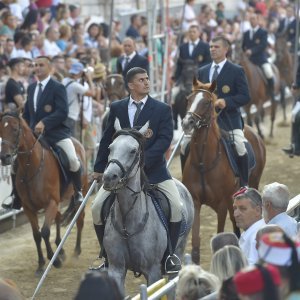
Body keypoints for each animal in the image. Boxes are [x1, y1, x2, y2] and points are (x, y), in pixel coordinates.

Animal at [0, 111, 88, 276]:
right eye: (0, 130)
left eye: (15, 129)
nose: (4, 157)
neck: (30, 166)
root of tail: (77, 142)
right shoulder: (28, 208)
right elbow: (36, 235)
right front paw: (41, 264)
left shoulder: (51, 203)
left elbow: (45, 232)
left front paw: (56, 261)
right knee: (59, 217)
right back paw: (60, 249)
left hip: (82, 192)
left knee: (79, 220)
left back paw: (76, 251)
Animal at [102, 119, 193, 292]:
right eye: (110, 148)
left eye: (133, 151)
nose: (109, 177)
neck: (128, 222)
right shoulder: (116, 269)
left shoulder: (153, 272)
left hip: (178, 254)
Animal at [182, 80, 266, 264]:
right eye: (188, 99)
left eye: (207, 102)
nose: (186, 123)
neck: (203, 162)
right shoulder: (196, 202)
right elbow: (196, 244)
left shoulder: (221, 204)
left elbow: (221, 235)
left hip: (247, 187)